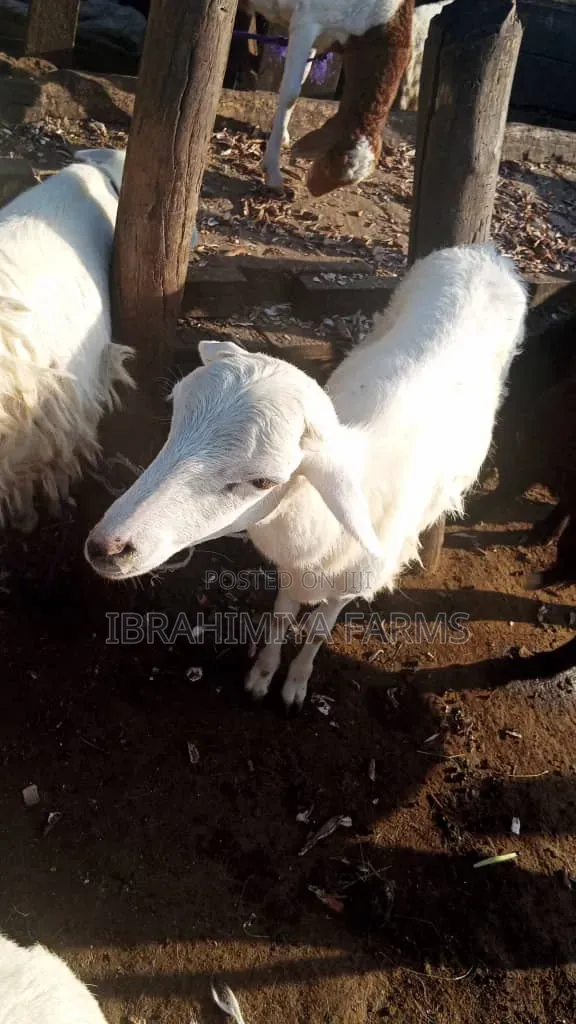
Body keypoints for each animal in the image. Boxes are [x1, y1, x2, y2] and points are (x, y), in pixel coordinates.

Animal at [84, 243, 527, 708]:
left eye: (264, 482)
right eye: (173, 422)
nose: (107, 548)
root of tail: (482, 253)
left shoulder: (349, 587)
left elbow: (315, 632)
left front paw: (295, 683)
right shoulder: (291, 569)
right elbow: (280, 618)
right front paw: (262, 676)